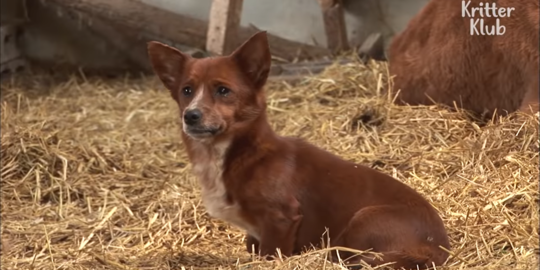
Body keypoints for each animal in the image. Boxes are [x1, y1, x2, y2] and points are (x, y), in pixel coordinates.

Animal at [147, 31, 452, 268]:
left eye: (223, 90)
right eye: (186, 90)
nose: (191, 116)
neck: (240, 153)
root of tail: (439, 249)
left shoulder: (281, 219)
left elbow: (270, 254)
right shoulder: (255, 233)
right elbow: (251, 246)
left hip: (364, 218)